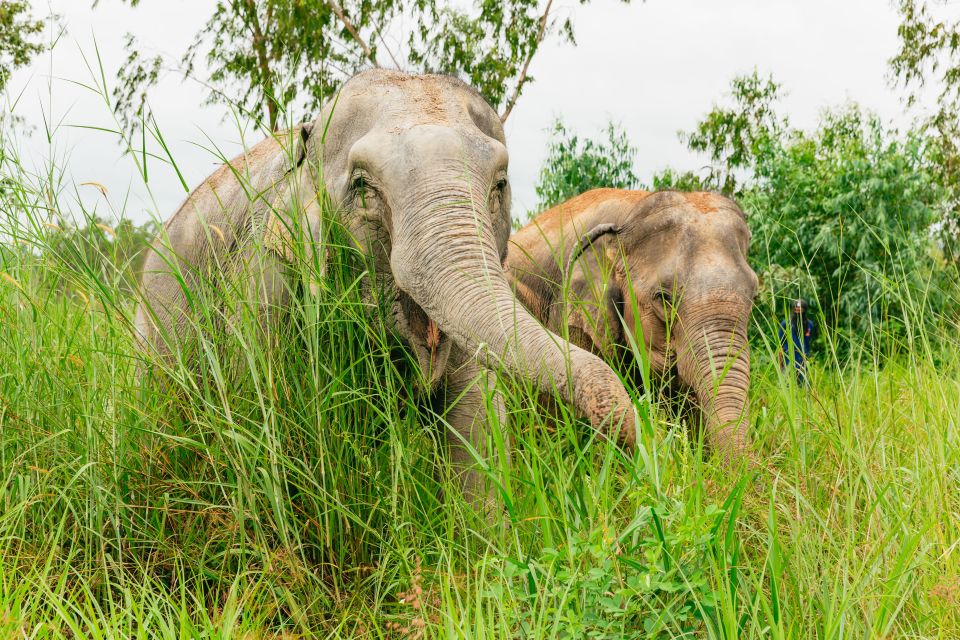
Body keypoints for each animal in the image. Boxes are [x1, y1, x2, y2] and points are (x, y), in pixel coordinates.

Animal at [129, 70, 636, 510]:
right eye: (363, 187)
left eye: (500, 185)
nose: (623, 439)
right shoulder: (263, 278)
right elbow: (258, 417)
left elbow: (476, 422)